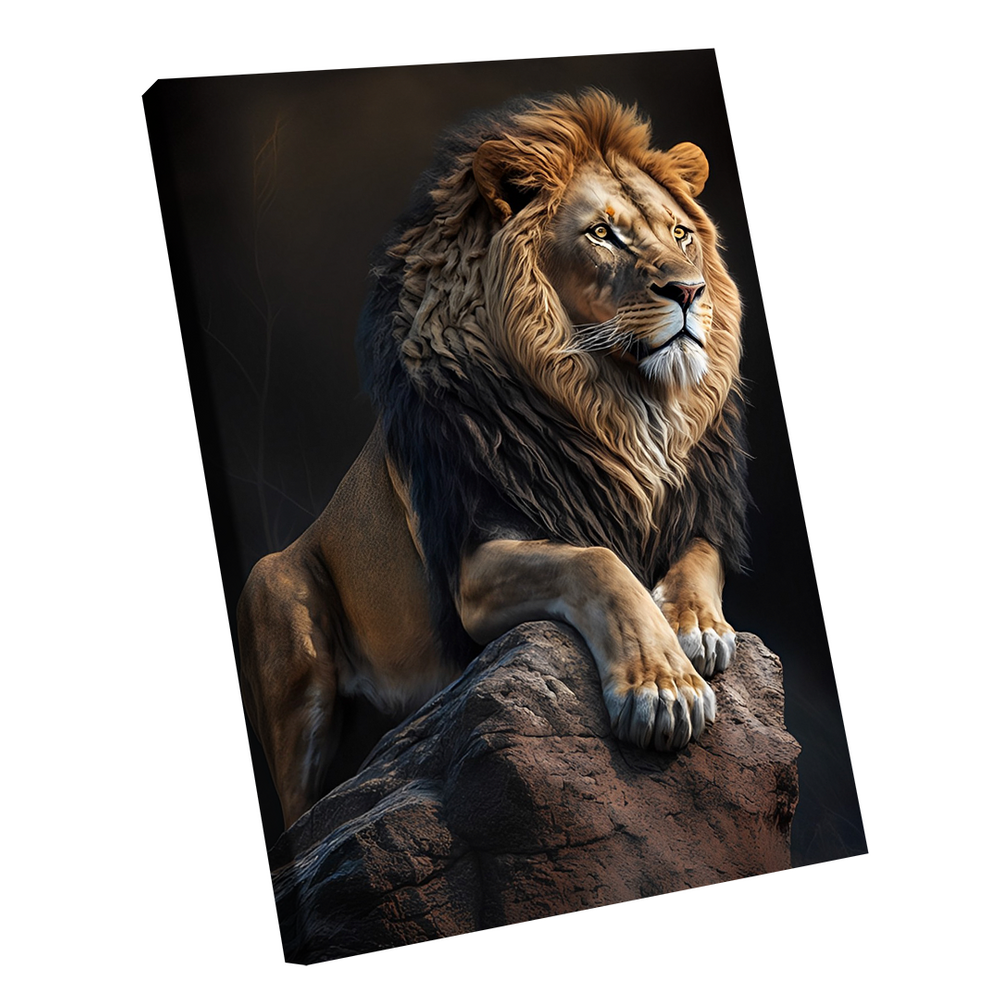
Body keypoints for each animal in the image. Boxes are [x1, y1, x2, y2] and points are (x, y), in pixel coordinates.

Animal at [237, 90, 750, 828]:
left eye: (681, 234)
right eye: (604, 234)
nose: (689, 291)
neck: (623, 409)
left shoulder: (689, 511)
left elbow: (699, 558)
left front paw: (698, 627)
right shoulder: (472, 566)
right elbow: (598, 563)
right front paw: (664, 689)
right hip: (273, 594)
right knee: (301, 817)